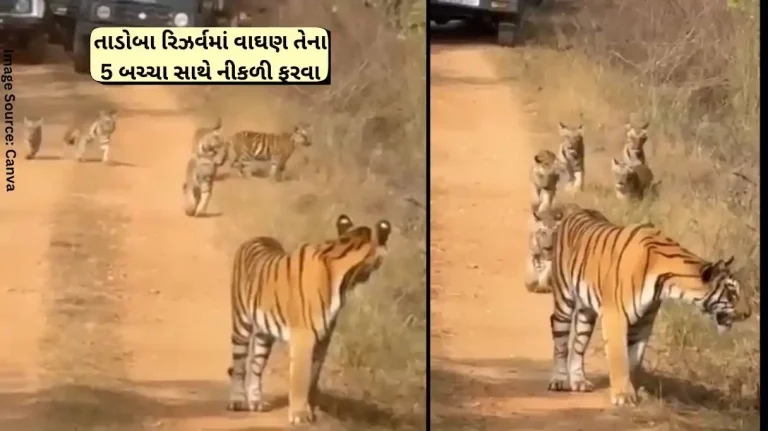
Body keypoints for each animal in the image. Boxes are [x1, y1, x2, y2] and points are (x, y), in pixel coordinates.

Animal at [226, 214, 392, 424]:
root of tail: (256, 238)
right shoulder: (303, 336)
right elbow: (300, 377)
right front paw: (300, 414)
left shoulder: (323, 338)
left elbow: (313, 376)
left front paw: (311, 409)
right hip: (241, 323)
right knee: (240, 365)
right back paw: (237, 400)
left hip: (265, 334)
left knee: (256, 365)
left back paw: (256, 402)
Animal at [547, 206, 751, 407]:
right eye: (732, 292)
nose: (749, 313)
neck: (666, 283)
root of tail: (576, 209)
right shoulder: (615, 315)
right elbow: (619, 357)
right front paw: (623, 395)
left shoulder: (645, 321)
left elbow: (634, 358)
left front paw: (634, 391)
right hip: (564, 301)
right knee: (561, 342)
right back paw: (558, 380)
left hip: (586, 314)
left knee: (578, 345)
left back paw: (579, 381)